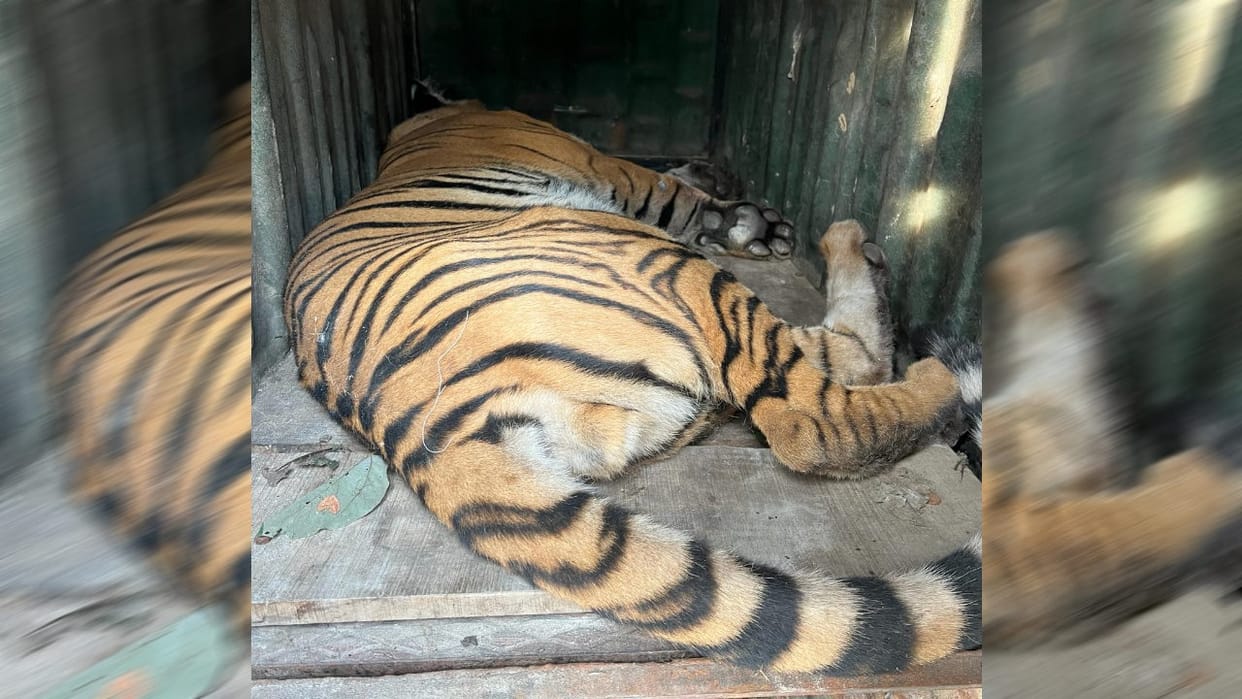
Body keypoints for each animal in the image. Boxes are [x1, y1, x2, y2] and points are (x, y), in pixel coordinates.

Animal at [284, 90, 982, 675]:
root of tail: (413, 425)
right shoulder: (611, 167)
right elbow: (675, 190)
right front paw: (752, 222)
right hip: (660, 263)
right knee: (817, 419)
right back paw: (888, 298)